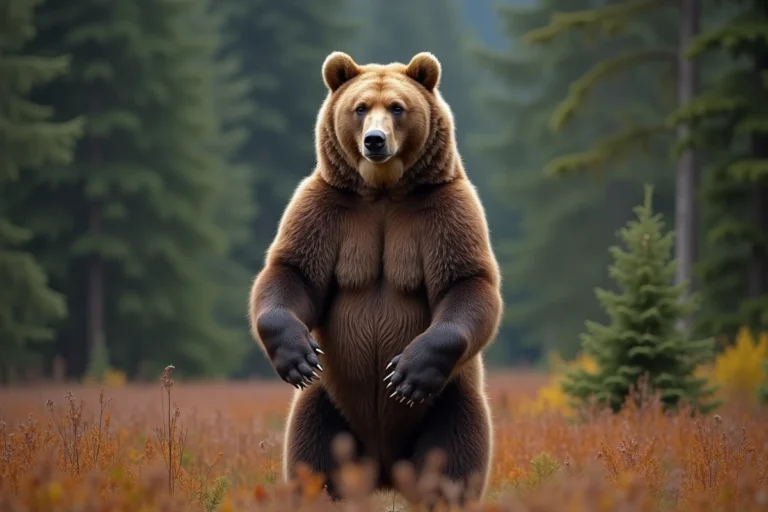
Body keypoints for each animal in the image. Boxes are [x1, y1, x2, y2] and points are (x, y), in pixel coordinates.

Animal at [248, 50, 503, 505]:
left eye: (398, 108)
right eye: (361, 107)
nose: (375, 140)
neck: (384, 190)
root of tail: (385, 470)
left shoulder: (445, 210)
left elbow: (467, 283)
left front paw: (406, 373)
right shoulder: (327, 208)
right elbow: (292, 272)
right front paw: (297, 356)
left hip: (450, 404)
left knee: (451, 471)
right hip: (327, 410)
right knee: (314, 468)